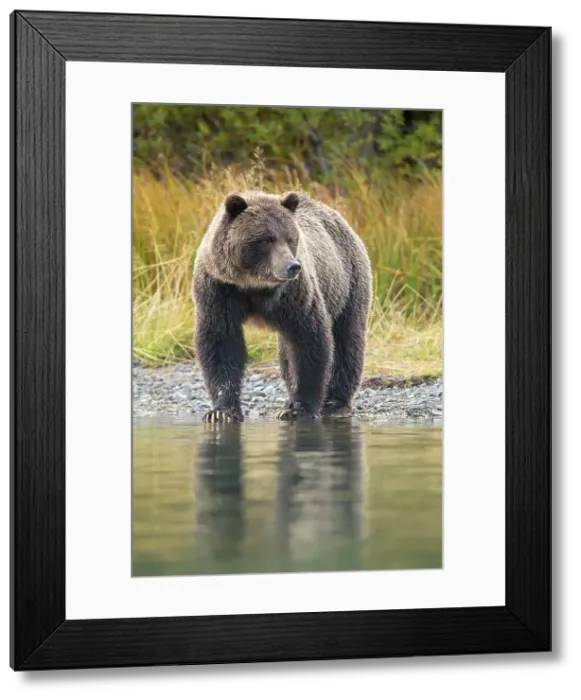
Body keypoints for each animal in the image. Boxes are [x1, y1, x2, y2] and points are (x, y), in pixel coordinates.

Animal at [192, 189, 373, 423]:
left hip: (348, 283)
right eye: (265, 239)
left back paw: (335, 403)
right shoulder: (220, 290)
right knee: (287, 354)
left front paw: (300, 409)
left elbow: (309, 340)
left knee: (347, 340)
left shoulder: (294, 294)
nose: (292, 266)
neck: (254, 286)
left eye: (290, 238)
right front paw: (222, 412)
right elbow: (221, 342)